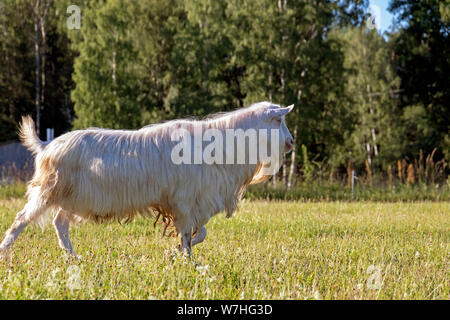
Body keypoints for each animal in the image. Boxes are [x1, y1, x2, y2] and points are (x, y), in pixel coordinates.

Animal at [0, 102, 294, 258]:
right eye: (278, 120)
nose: (292, 142)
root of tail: (47, 145)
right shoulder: (184, 202)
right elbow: (188, 235)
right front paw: (188, 261)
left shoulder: (191, 204)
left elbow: (199, 233)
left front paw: (175, 252)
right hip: (48, 191)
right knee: (21, 220)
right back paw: (5, 252)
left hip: (74, 198)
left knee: (60, 223)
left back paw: (73, 258)